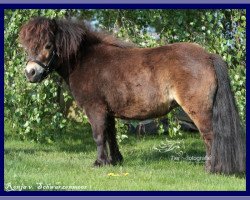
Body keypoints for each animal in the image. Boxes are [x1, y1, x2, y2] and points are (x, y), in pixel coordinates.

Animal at [18, 17, 245, 174]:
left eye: (48, 45)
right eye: (27, 46)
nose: (30, 73)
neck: (85, 61)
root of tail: (208, 56)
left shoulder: (95, 109)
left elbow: (98, 136)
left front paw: (99, 163)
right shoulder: (107, 111)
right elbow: (110, 135)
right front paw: (115, 161)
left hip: (198, 110)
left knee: (210, 136)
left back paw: (211, 169)